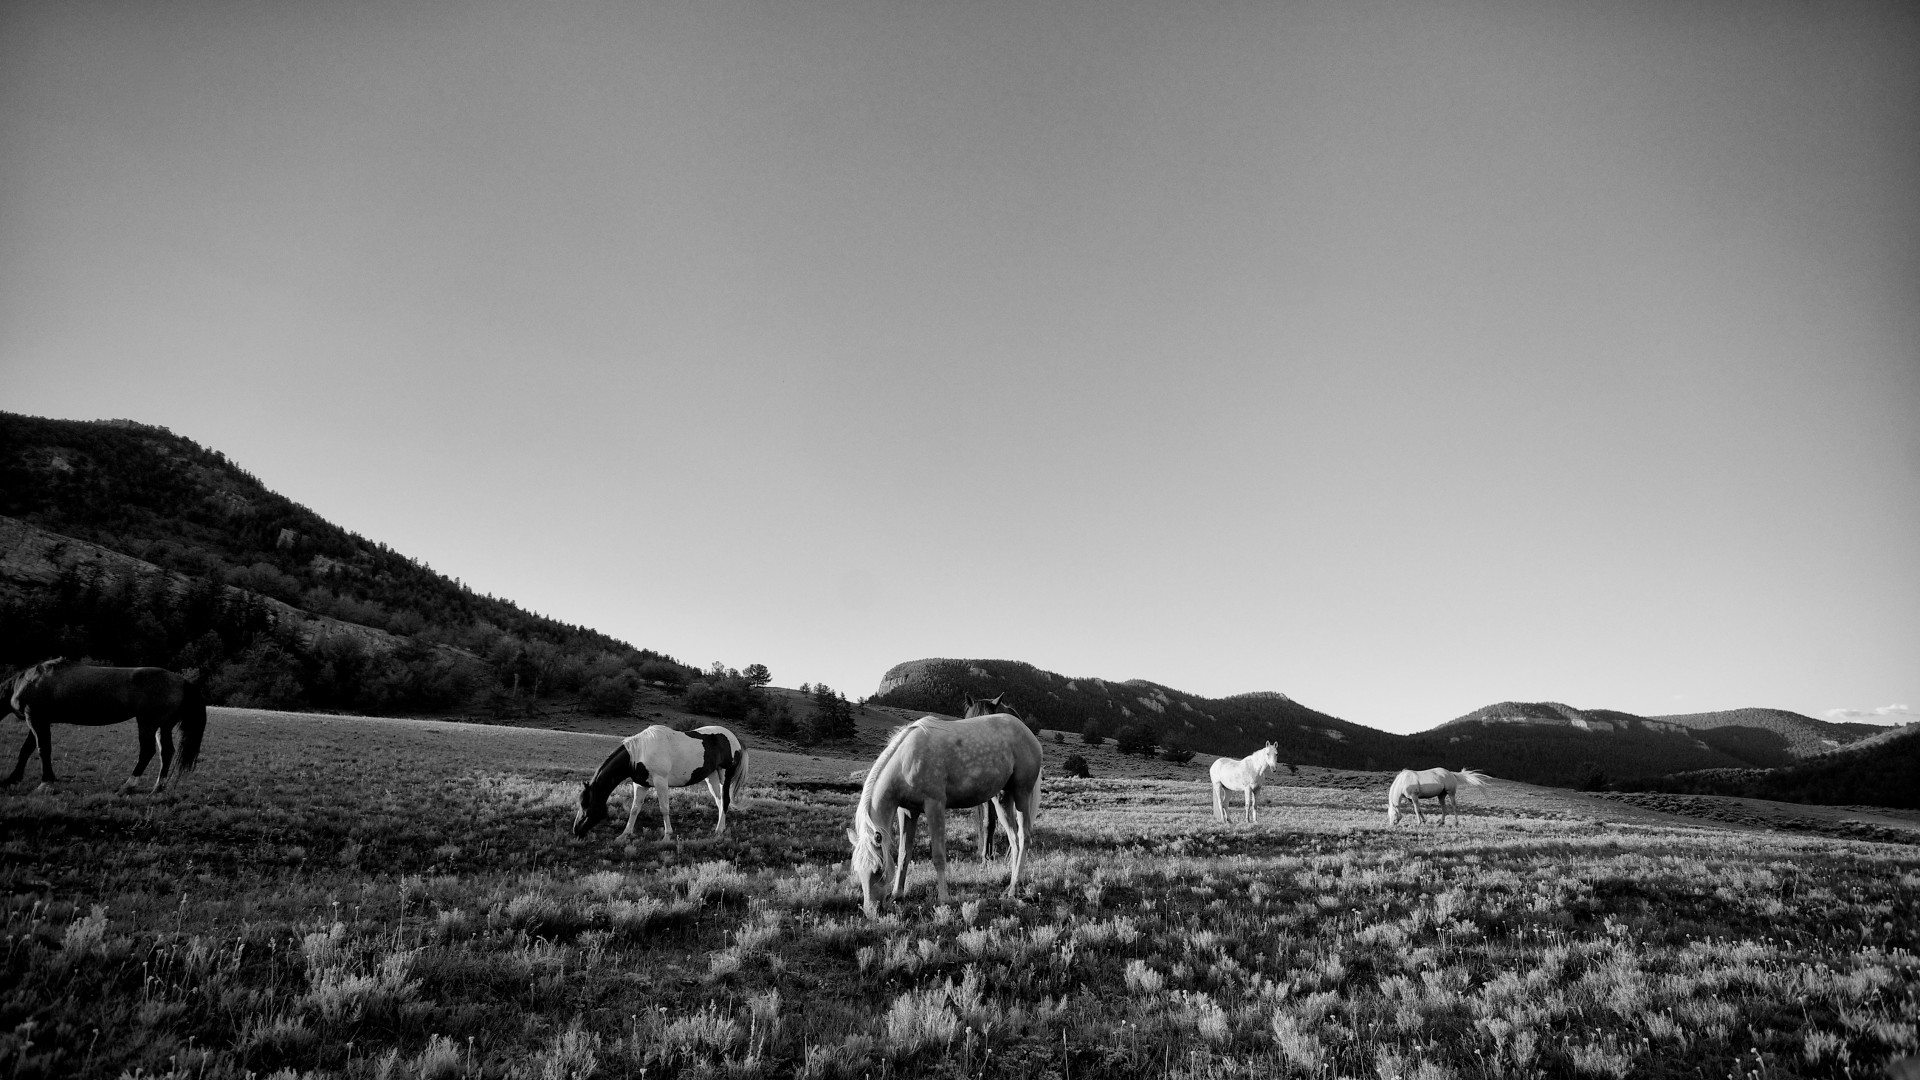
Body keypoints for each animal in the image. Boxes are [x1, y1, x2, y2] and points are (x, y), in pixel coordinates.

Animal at [1, 657, 206, 791]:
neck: (29, 681)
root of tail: (182, 681)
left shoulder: (36, 719)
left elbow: (43, 749)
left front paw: (45, 782)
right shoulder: (39, 722)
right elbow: (26, 750)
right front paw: (12, 779)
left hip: (147, 724)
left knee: (147, 752)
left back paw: (128, 785)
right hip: (163, 727)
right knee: (166, 752)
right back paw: (158, 787)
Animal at [568, 722, 748, 841]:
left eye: (586, 805)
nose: (576, 831)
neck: (640, 752)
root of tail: (735, 739)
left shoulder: (661, 782)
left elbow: (664, 809)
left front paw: (667, 835)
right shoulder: (641, 785)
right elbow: (634, 809)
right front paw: (625, 834)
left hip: (725, 775)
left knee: (725, 800)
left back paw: (719, 830)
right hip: (712, 777)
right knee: (719, 801)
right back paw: (719, 827)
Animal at [848, 711, 1044, 910]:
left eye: (878, 869)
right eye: (857, 869)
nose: (870, 910)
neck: (906, 762)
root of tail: (1027, 732)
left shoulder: (934, 806)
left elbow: (938, 856)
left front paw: (944, 898)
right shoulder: (908, 811)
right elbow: (904, 853)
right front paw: (898, 894)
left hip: (1022, 792)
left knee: (1024, 837)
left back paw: (1014, 889)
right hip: (1002, 798)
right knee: (1014, 840)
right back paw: (1010, 887)